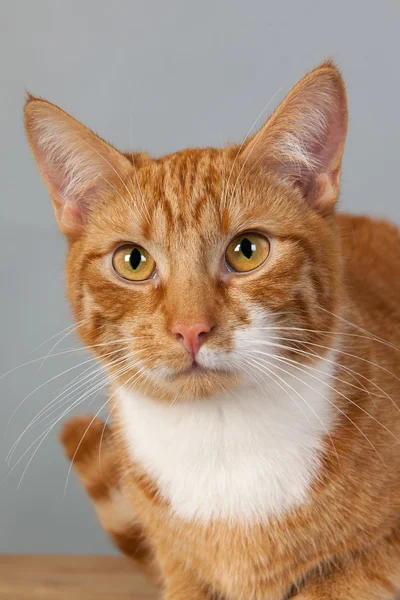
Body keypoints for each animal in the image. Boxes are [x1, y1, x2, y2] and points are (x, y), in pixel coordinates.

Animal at [22, 62, 400, 600]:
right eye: (133, 261)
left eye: (247, 251)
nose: (190, 330)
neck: (221, 443)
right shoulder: (180, 570)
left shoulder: (377, 557)